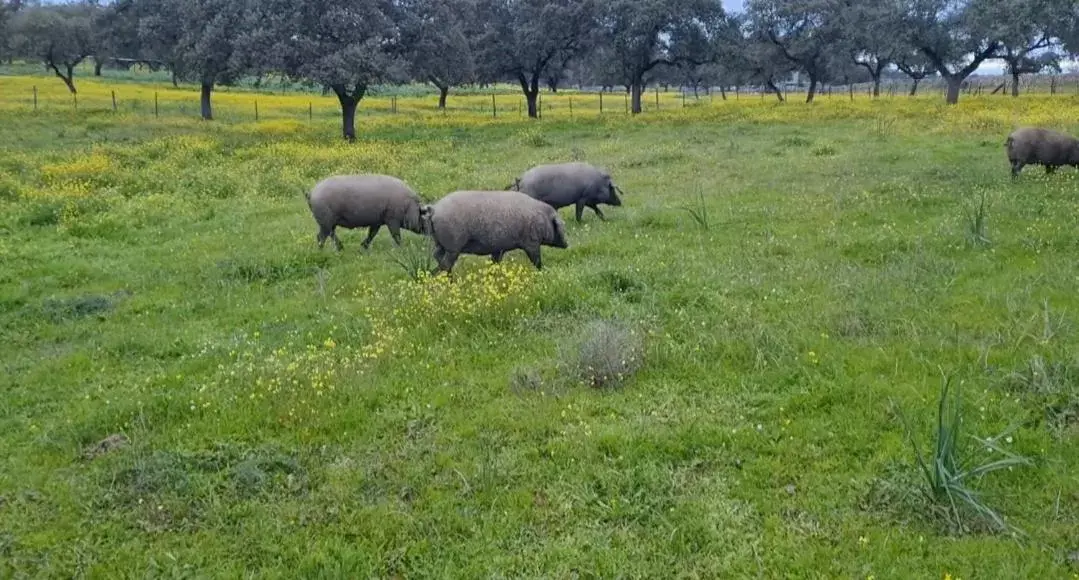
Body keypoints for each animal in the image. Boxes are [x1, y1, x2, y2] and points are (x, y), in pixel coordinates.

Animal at [425, 188, 569, 271]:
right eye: (561, 226)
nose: (567, 244)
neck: (543, 220)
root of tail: (435, 209)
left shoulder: (498, 248)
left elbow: (495, 261)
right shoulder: (531, 243)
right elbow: (536, 260)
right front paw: (543, 271)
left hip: (440, 243)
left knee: (436, 255)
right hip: (453, 246)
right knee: (446, 263)